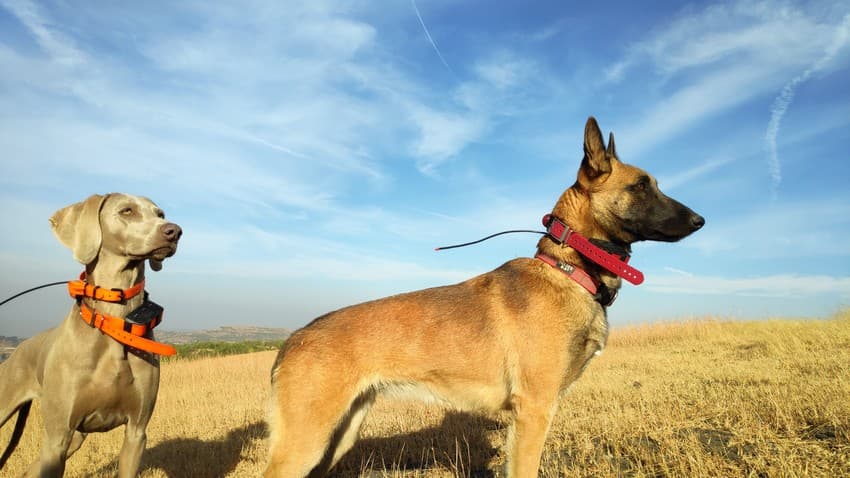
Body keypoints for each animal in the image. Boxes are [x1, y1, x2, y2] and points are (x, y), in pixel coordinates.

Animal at [0, 194, 181, 478]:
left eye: (160, 214)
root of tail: (21, 347)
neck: (113, 321)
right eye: (126, 211)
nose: (174, 231)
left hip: (75, 437)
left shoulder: (136, 432)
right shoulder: (57, 439)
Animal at [264, 116, 704, 478]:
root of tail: (293, 339)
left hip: (340, 435)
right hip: (306, 442)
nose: (700, 220)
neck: (570, 269)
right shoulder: (534, 411)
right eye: (642, 186)